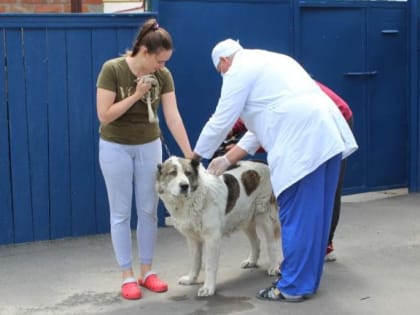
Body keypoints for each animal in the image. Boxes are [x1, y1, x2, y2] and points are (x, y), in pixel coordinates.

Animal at [156, 157, 280, 298]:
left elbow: (210, 265)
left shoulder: (212, 238)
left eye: (188, 173)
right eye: (173, 173)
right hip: (244, 217)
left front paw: (208, 288)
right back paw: (251, 261)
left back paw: (274, 266)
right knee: (256, 241)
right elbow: (195, 261)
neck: (191, 199)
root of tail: (262, 162)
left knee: (272, 243)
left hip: (264, 215)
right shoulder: (192, 238)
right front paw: (191, 279)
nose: (184, 186)